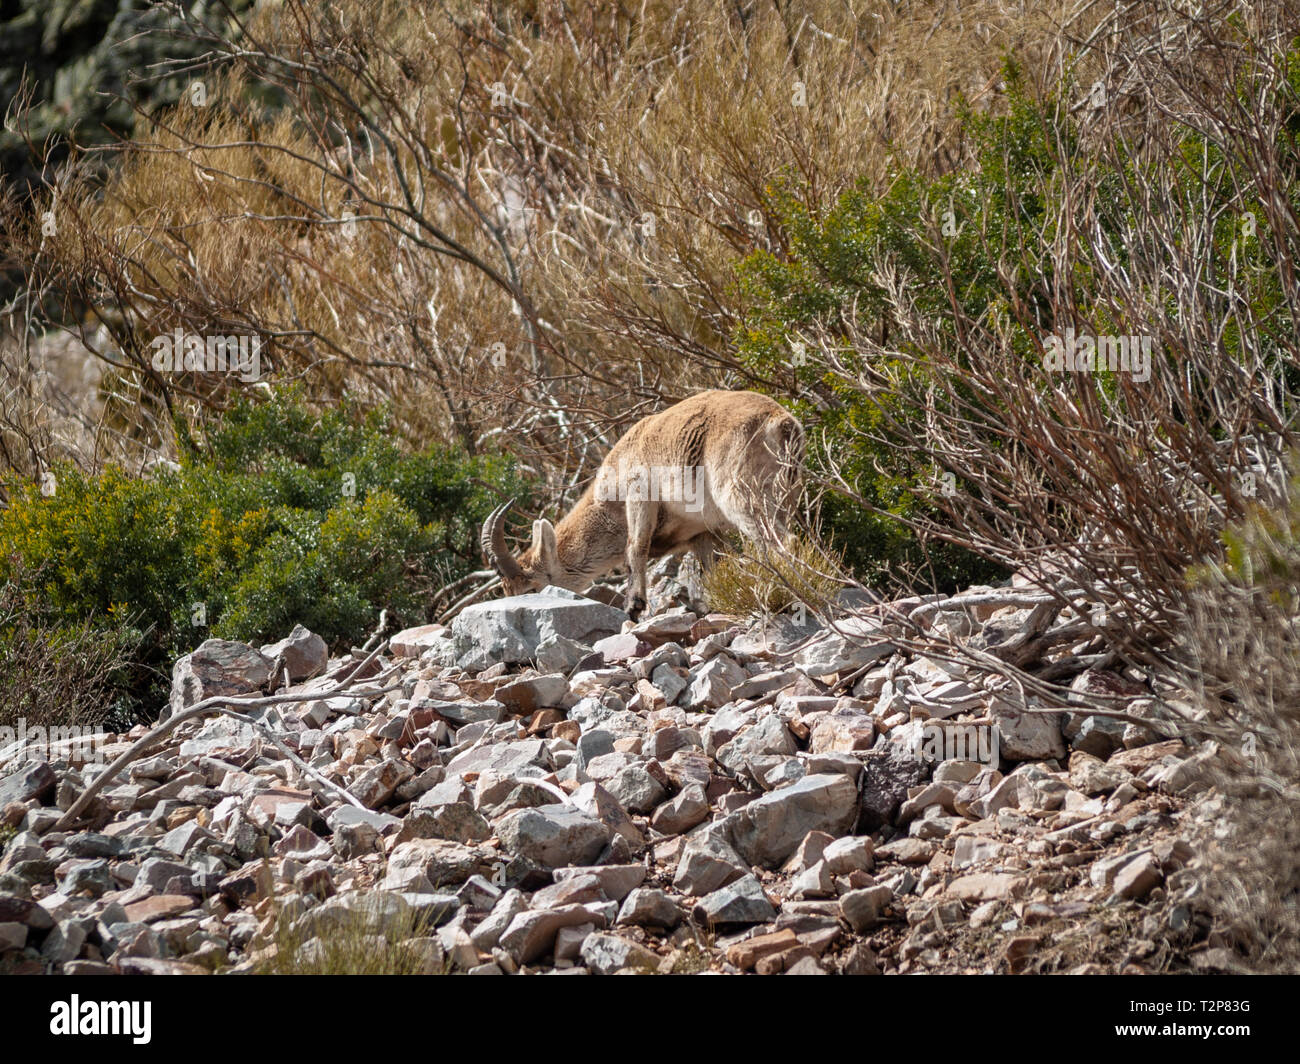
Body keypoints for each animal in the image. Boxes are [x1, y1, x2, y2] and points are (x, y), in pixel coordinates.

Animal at [480, 389, 804, 618]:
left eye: (532, 588)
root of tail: (781, 422)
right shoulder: (702, 532)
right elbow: (709, 568)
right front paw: (709, 605)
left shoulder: (639, 495)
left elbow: (635, 547)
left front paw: (634, 606)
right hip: (785, 494)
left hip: (741, 494)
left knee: (778, 540)